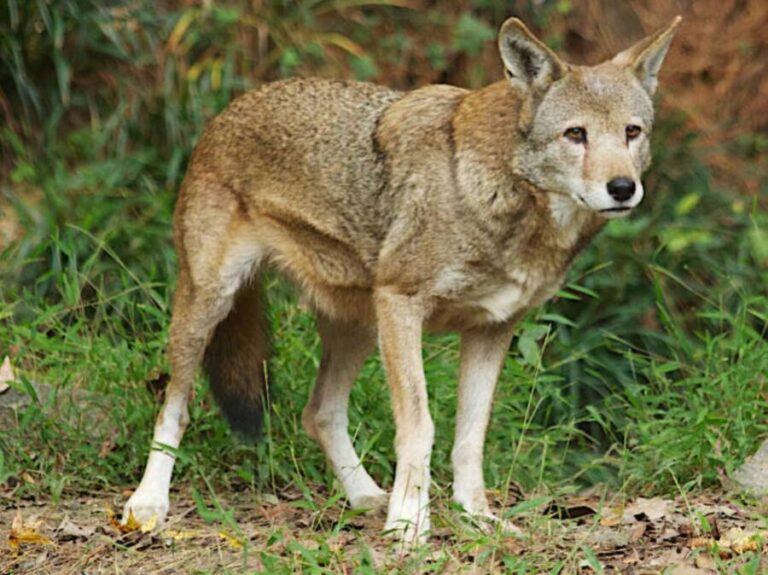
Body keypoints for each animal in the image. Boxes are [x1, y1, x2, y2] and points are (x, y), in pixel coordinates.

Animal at [123, 16, 681, 544]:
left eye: (632, 132)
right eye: (575, 135)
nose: (622, 188)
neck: (499, 199)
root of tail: (226, 111)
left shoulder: (491, 329)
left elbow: (470, 438)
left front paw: (477, 518)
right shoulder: (402, 303)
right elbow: (419, 426)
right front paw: (410, 525)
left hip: (359, 327)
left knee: (319, 412)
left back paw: (365, 495)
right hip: (210, 307)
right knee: (174, 406)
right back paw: (147, 505)